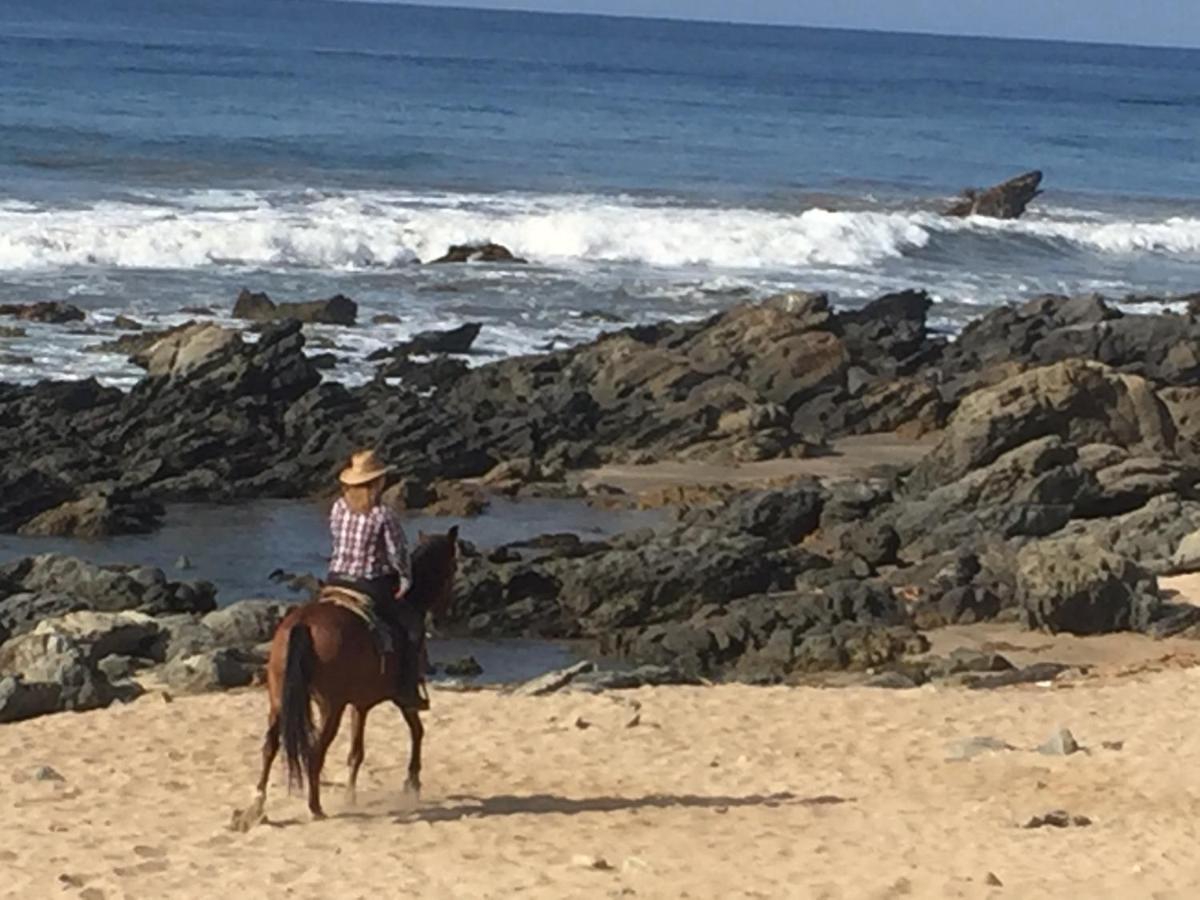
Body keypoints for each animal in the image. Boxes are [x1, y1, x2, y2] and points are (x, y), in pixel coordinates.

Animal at [241, 520, 456, 825]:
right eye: (453, 568)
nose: (443, 616)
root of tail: (303, 623)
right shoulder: (402, 697)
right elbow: (417, 731)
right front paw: (412, 784)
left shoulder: (360, 704)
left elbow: (356, 751)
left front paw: (351, 795)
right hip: (331, 707)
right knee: (315, 751)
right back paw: (315, 807)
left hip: (279, 699)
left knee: (270, 746)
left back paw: (257, 806)